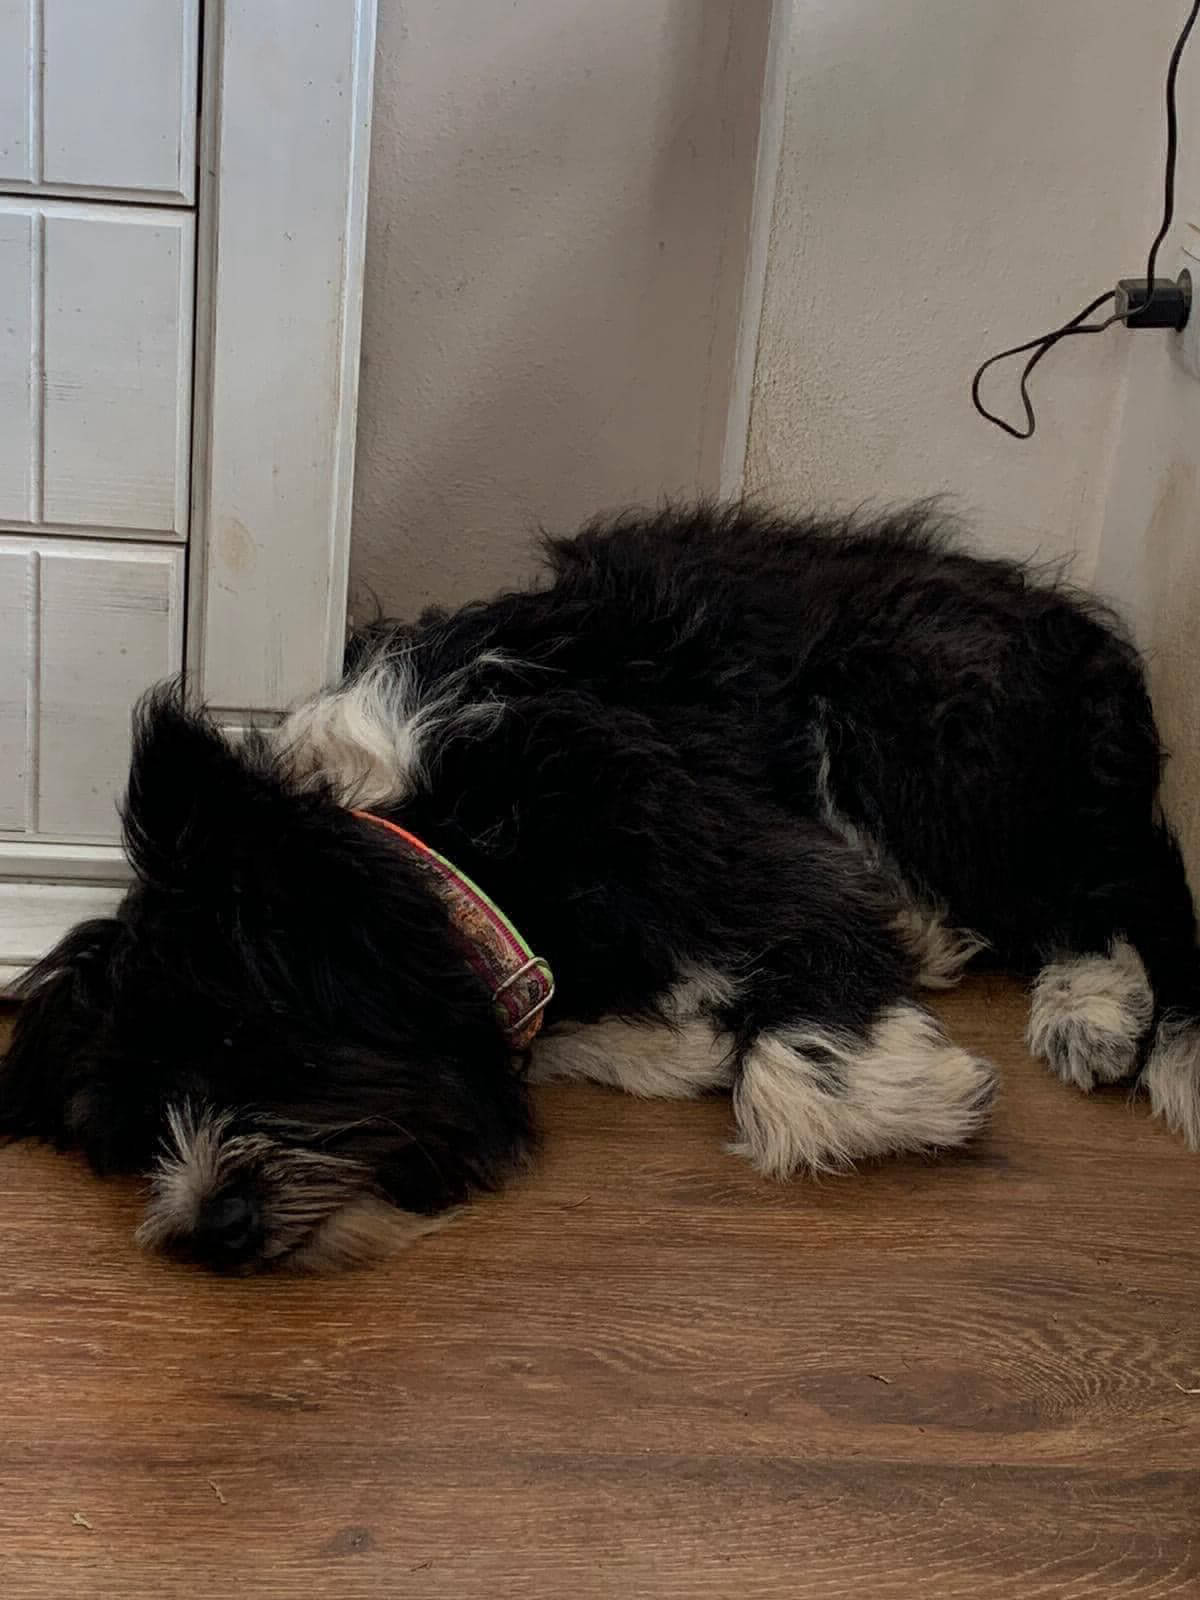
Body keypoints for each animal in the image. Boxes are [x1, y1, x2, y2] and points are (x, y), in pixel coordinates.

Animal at [3, 504, 1198, 1273]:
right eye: (128, 1139)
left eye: (233, 1036)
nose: (213, 1227)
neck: (448, 836)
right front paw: (678, 1041)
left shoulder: (713, 840)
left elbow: (797, 1036)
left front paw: (892, 1093)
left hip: (929, 723)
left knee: (1120, 883)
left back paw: (1098, 1009)